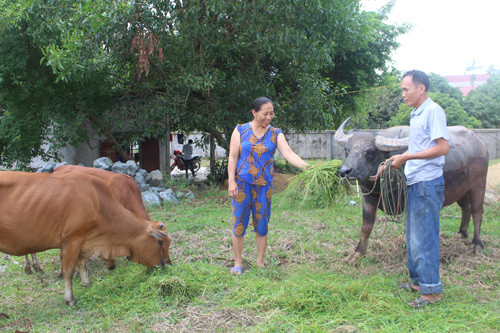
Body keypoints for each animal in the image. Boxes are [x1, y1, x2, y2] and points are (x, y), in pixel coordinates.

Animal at [0, 169, 172, 304]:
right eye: (160, 243)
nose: (169, 265)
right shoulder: (72, 239)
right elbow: (69, 270)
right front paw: (69, 298)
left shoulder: (83, 239)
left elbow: (81, 263)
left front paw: (86, 283)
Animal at [334, 117, 490, 262]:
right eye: (347, 150)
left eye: (370, 151)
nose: (344, 171)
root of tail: (480, 143)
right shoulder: (369, 199)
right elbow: (366, 227)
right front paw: (357, 254)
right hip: (462, 190)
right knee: (466, 208)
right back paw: (461, 234)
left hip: (479, 184)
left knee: (477, 212)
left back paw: (477, 245)